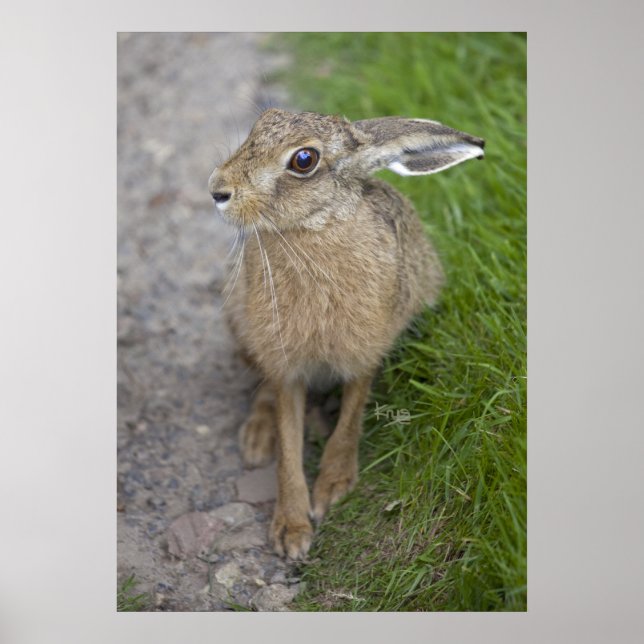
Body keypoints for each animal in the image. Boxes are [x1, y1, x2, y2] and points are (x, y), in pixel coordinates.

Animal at [208, 108, 484, 559]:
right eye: (262, 121)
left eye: (304, 160)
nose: (217, 189)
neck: (315, 228)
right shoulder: (285, 365)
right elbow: (288, 443)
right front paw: (291, 530)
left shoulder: (364, 353)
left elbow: (351, 418)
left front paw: (333, 486)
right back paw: (257, 439)